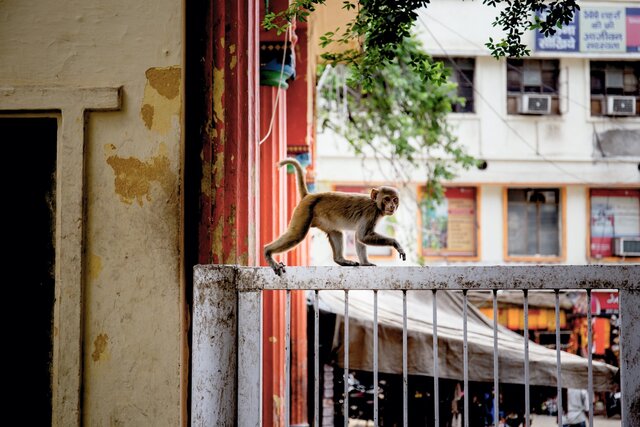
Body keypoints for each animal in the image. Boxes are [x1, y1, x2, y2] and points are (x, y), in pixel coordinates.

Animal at [264, 159, 404, 276]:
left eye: (395, 200)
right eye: (387, 199)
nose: (392, 206)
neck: (376, 205)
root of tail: (308, 196)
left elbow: (358, 237)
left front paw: (365, 263)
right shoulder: (371, 213)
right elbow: (362, 236)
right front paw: (396, 243)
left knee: (336, 232)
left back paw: (340, 260)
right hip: (304, 210)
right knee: (297, 234)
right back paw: (268, 252)